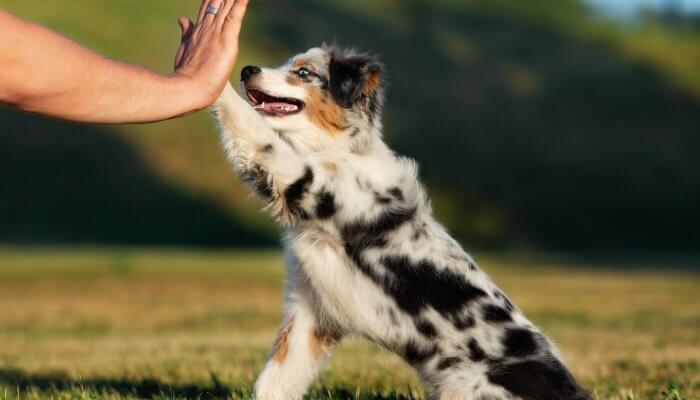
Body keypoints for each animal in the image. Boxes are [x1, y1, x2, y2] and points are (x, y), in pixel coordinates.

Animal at [209, 45, 592, 400]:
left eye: (303, 72)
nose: (247, 70)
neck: (337, 151)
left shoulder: (303, 179)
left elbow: (256, 132)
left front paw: (213, 71)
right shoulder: (311, 306)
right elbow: (277, 377)